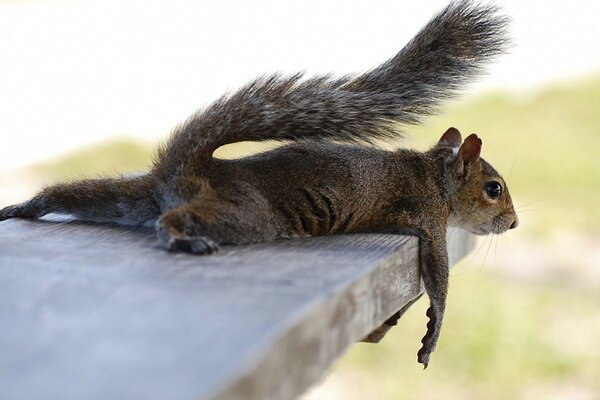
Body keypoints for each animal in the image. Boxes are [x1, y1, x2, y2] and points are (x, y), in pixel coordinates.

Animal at [0, 0, 516, 368]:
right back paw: (179, 236)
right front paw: (433, 332)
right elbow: (439, 279)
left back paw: (24, 206)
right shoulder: (428, 218)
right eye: (494, 188)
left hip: (132, 196)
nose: (512, 224)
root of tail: (190, 169)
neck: (436, 175)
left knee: (79, 195)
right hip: (249, 213)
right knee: (179, 217)